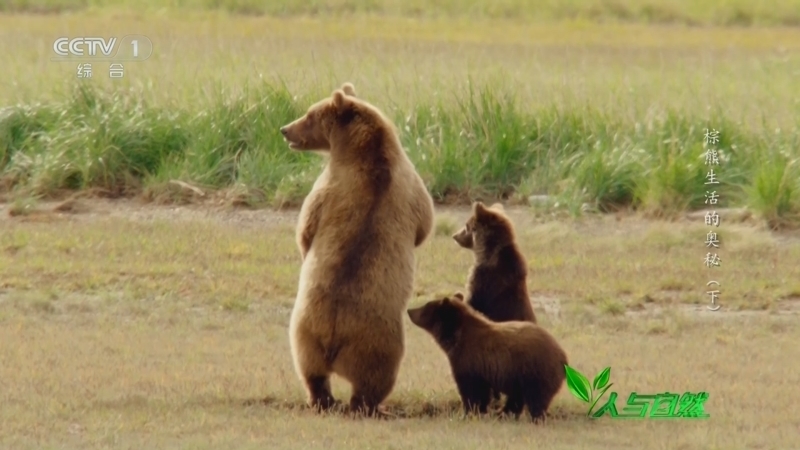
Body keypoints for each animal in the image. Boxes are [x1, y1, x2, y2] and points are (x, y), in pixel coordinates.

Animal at [280, 82, 435, 417]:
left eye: (309, 114)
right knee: (369, 379)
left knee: (317, 373)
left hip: (308, 334)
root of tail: (333, 337)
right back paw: (365, 405)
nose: (285, 129)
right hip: (366, 341)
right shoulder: (339, 185)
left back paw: (329, 400)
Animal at [407, 295, 567, 421]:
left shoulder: (469, 361)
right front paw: (480, 411)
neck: (456, 340)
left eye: (426, 306)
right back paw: (504, 413)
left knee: (536, 398)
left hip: (535, 371)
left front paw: (468, 412)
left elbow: (471, 390)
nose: (409, 310)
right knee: (517, 397)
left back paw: (534, 417)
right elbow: (482, 393)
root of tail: (562, 356)